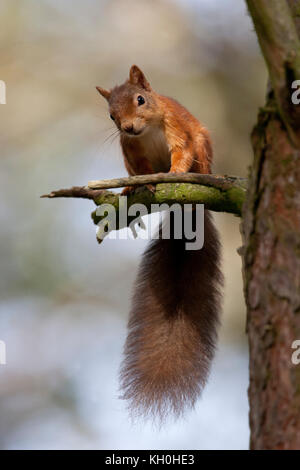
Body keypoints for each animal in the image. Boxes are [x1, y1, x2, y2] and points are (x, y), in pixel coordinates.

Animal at [96, 65, 223, 418]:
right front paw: (141, 185)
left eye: (141, 99)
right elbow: (141, 170)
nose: (128, 126)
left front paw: (175, 173)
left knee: (199, 158)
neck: (148, 131)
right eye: (111, 115)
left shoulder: (179, 129)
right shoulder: (131, 150)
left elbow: (183, 151)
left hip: (203, 144)